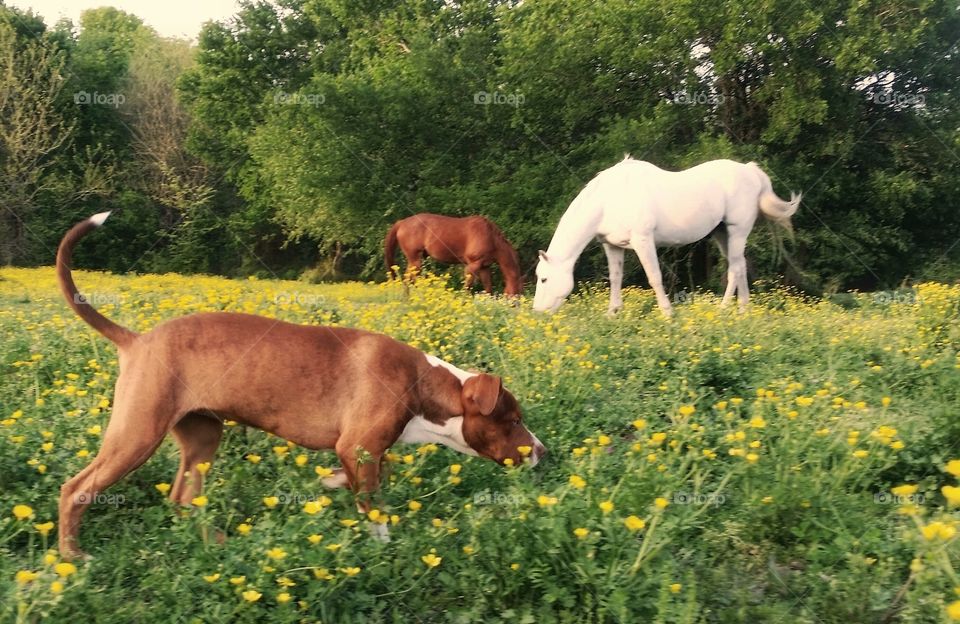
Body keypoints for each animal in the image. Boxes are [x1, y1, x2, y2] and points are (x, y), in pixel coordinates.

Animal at [384, 213, 523, 296]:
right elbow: (467, 288)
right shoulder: (472, 266)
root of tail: (401, 222)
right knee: (408, 280)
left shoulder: (484, 267)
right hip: (415, 260)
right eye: (517, 293)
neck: (490, 237)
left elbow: (488, 289)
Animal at [532, 157, 800, 316]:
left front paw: (667, 313)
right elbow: (616, 278)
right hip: (723, 233)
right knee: (740, 267)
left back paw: (724, 310)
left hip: (737, 231)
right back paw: (743, 311)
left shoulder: (643, 241)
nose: (537, 311)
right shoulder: (612, 246)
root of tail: (750, 171)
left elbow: (654, 278)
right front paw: (612, 314)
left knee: (734, 270)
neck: (608, 199)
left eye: (544, 279)